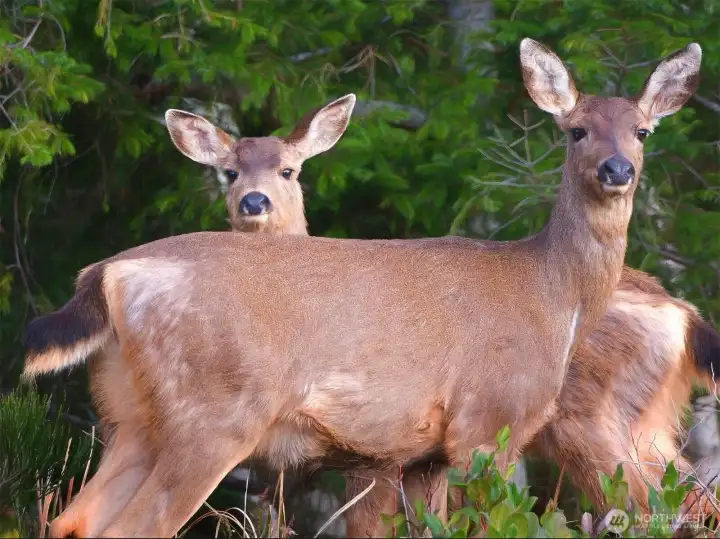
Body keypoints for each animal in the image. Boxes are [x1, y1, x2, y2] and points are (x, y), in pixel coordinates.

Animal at [21, 37, 701, 538]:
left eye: (642, 131)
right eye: (575, 131)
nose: (618, 169)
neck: (552, 294)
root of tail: (106, 273)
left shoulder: (422, 453)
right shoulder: (486, 423)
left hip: (129, 416)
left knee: (72, 521)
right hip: (210, 414)